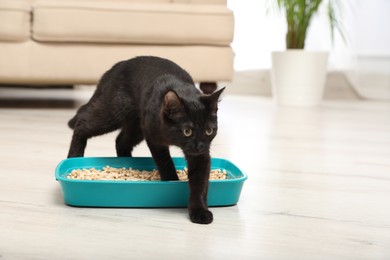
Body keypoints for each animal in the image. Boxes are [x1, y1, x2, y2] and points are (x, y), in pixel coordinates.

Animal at [67, 56, 225, 223]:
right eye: (187, 131)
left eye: (209, 131)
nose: (200, 145)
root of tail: (117, 65)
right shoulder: (153, 138)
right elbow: (165, 161)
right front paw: (171, 179)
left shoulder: (200, 155)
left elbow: (200, 181)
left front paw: (200, 211)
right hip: (113, 113)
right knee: (82, 122)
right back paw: (73, 155)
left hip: (136, 126)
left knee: (120, 141)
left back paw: (127, 161)